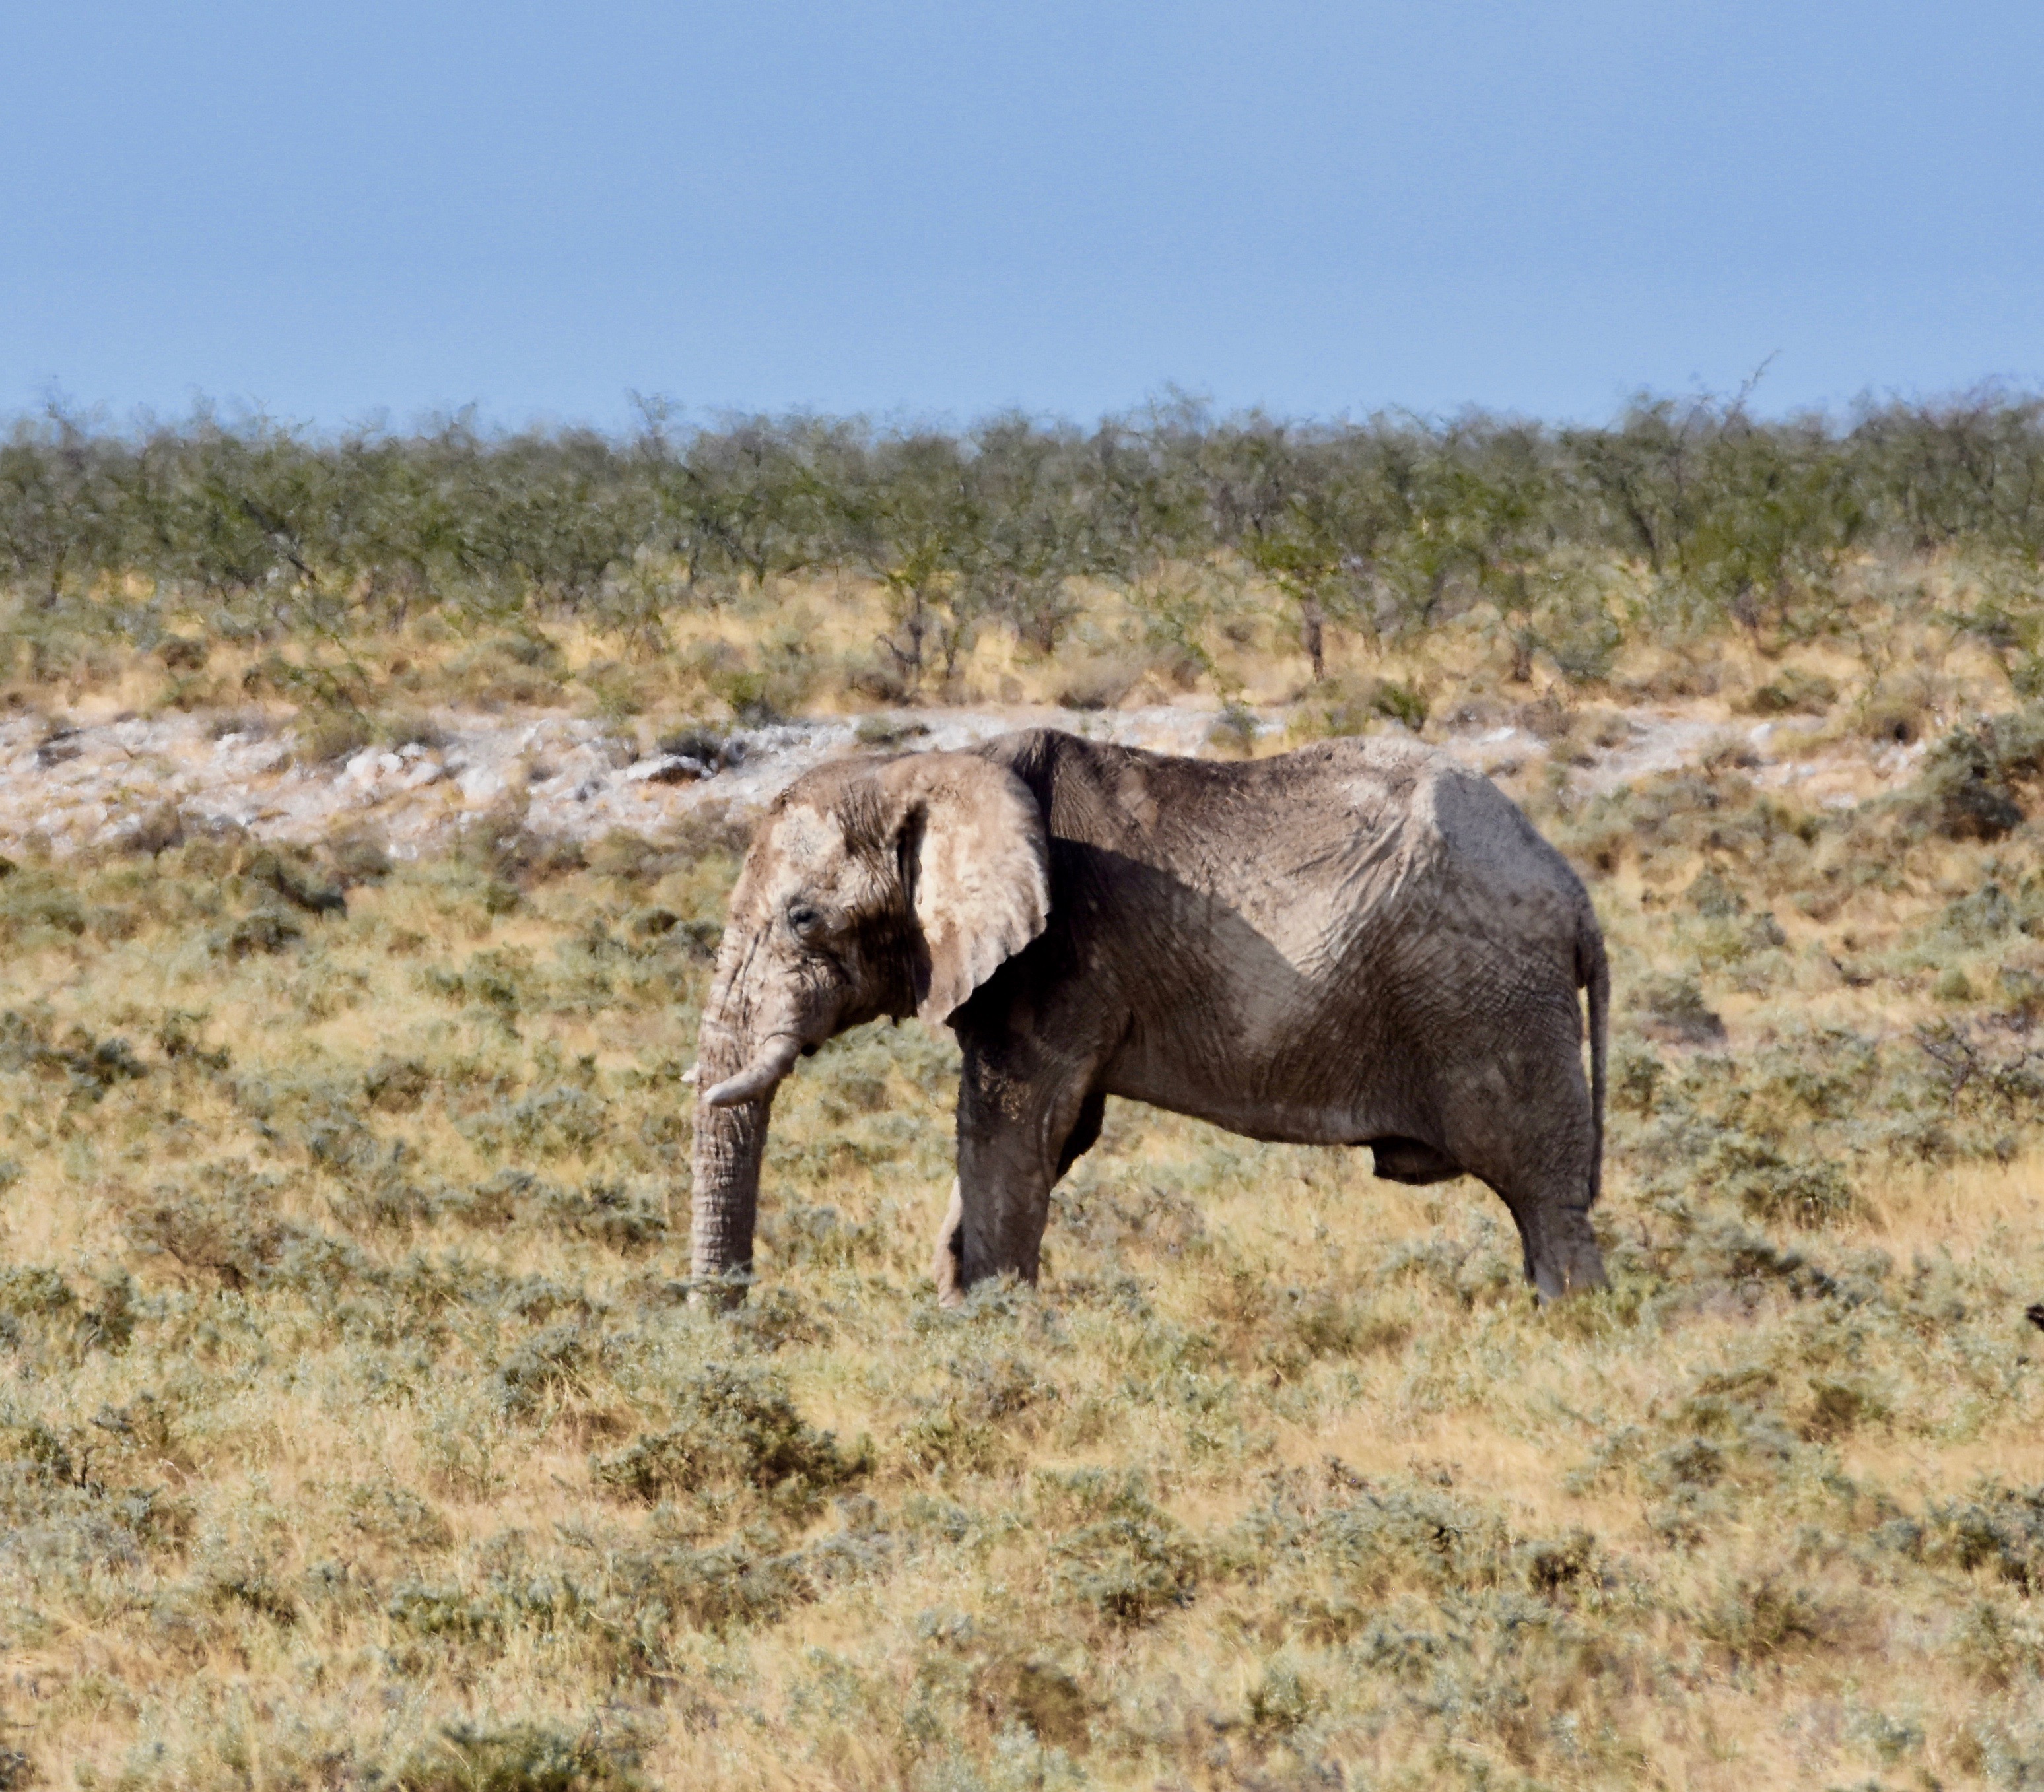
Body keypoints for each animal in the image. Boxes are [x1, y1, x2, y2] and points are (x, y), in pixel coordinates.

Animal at [691, 723, 1610, 1299]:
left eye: (804, 919)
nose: (734, 1326)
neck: (929, 767)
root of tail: (1574, 893)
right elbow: (1058, 1134)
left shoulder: (1057, 958)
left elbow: (1011, 1129)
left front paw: (992, 1332)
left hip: (1492, 1000)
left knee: (1547, 1206)